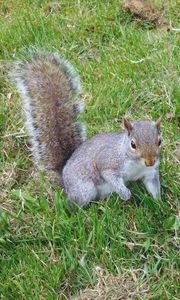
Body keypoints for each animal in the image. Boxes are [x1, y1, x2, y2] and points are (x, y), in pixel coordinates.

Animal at [11, 49, 162, 209]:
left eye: (159, 141)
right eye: (133, 144)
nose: (150, 161)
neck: (136, 163)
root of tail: (64, 179)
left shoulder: (150, 173)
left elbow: (153, 187)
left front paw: (159, 205)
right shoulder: (108, 162)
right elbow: (110, 175)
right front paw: (125, 193)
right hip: (83, 189)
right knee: (75, 204)